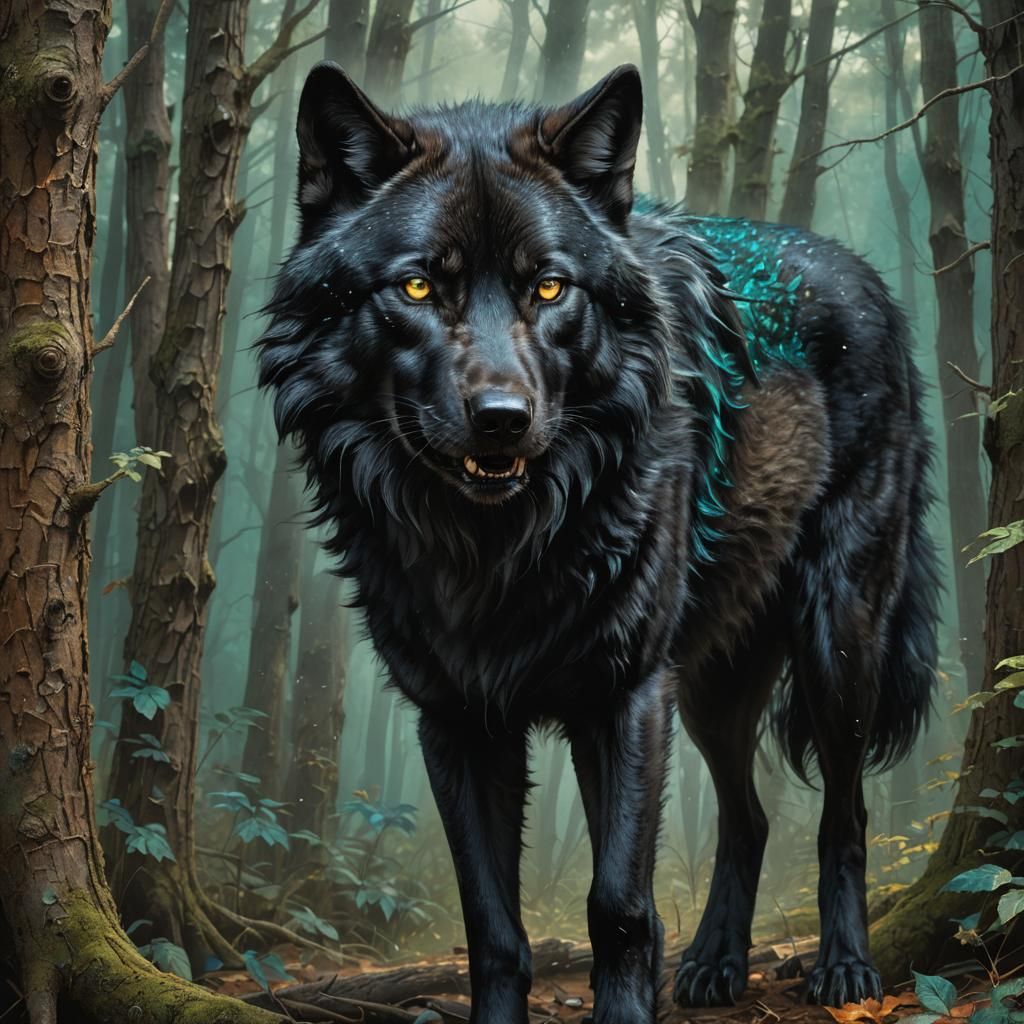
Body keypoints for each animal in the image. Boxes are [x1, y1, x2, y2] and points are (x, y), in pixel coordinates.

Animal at [257, 62, 938, 1024]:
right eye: (419, 288)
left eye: (549, 288)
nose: (502, 419)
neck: (496, 549)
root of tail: (868, 277)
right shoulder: (457, 719)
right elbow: (492, 929)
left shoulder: (625, 698)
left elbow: (618, 905)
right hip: (710, 687)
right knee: (749, 816)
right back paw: (713, 966)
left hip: (832, 648)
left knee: (844, 813)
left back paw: (843, 969)